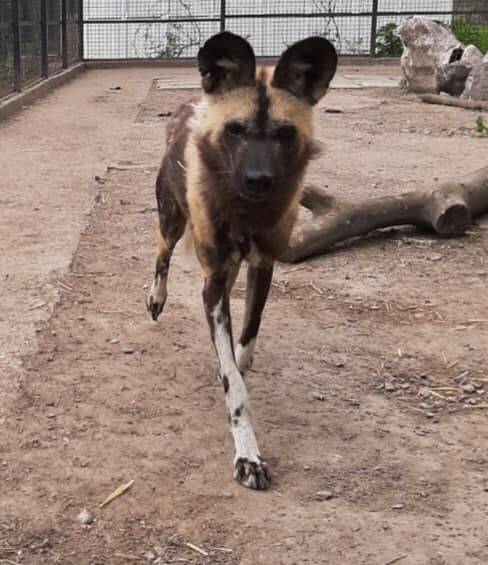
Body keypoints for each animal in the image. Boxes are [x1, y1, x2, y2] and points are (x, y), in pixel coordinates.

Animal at [147, 32, 338, 490]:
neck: (247, 213)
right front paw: (248, 454)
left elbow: (246, 341)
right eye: (235, 130)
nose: (259, 180)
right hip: (171, 222)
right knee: (161, 253)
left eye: (284, 133)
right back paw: (156, 298)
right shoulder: (213, 285)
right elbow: (234, 383)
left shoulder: (262, 266)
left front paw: (237, 359)